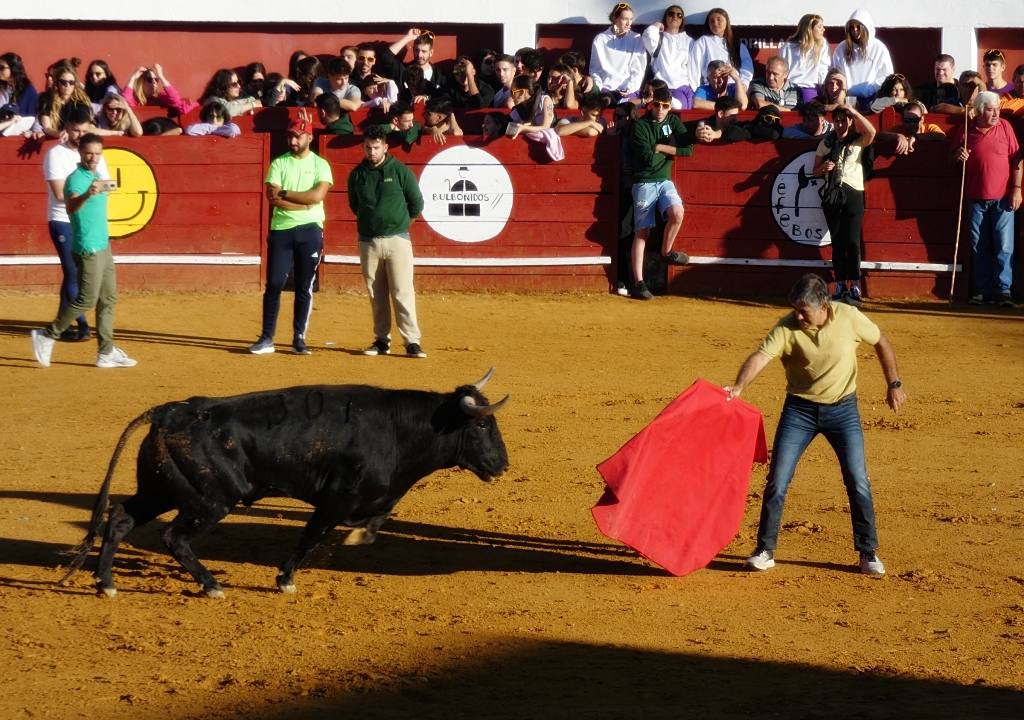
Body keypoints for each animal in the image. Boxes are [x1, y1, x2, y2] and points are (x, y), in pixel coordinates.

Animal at [58, 368, 507, 598]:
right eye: (483, 425)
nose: (502, 465)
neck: (398, 429)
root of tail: (168, 413)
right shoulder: (336, 499)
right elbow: (311, 537)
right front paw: (286, 579)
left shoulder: (374, 495)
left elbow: (380, 514)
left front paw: (358, 536)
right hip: (209, 500)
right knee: (174, 537)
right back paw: (211, 585)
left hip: (160, 490)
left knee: (120, 518)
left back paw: (106, 583)